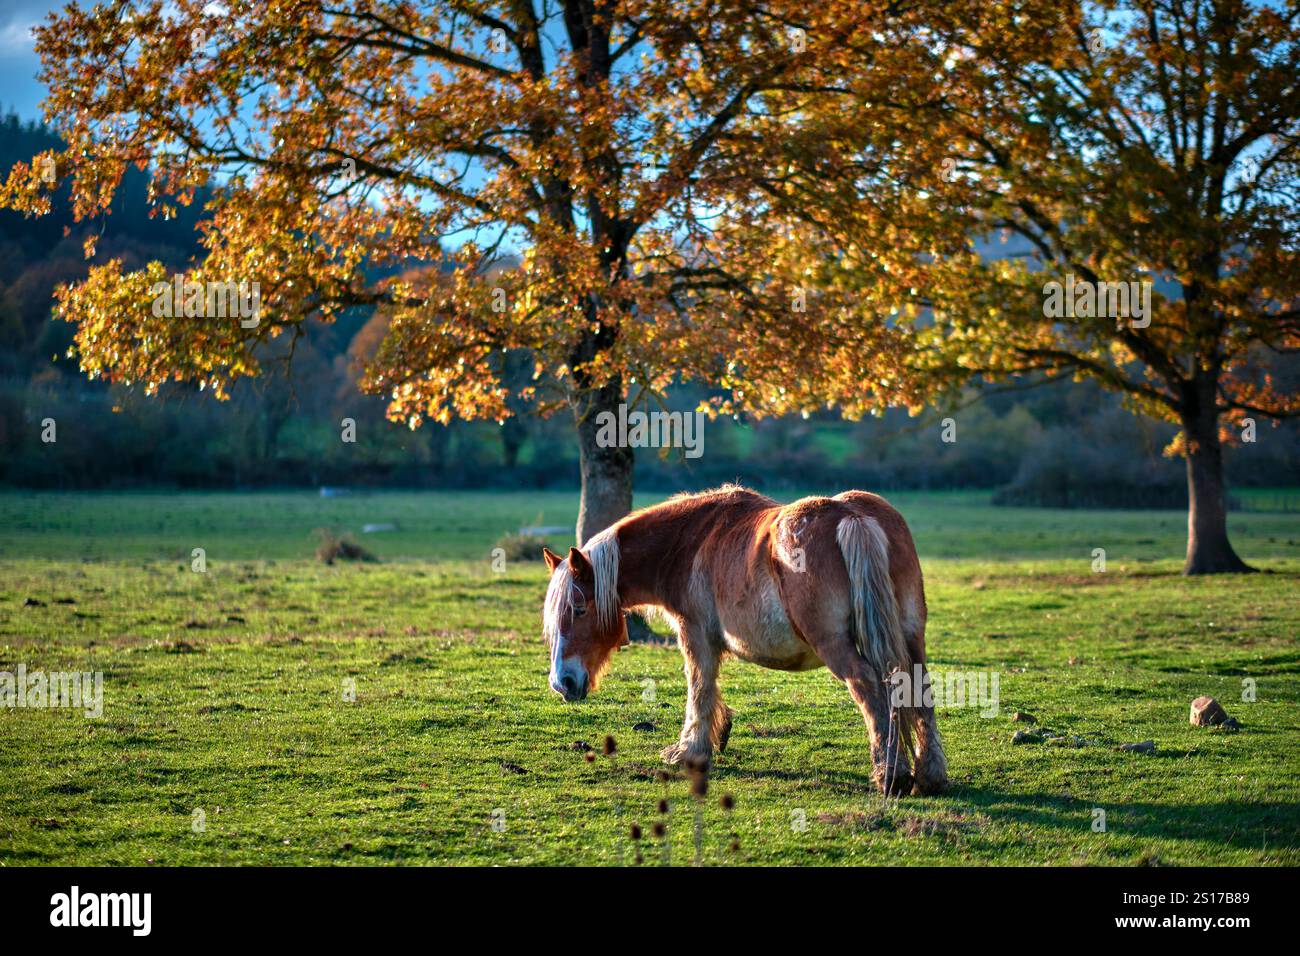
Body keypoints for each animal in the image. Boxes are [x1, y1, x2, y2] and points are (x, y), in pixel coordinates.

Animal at [538, 481, 946, 796]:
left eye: (578, 608)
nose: (561, 682)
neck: (689, 542)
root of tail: (851, 516)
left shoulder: (694, 634)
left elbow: (699, 688)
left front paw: (689, 750)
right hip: (911, 638)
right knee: (918, 690)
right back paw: (930, 778)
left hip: (836, 647)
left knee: (868, 688)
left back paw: (891, 776)